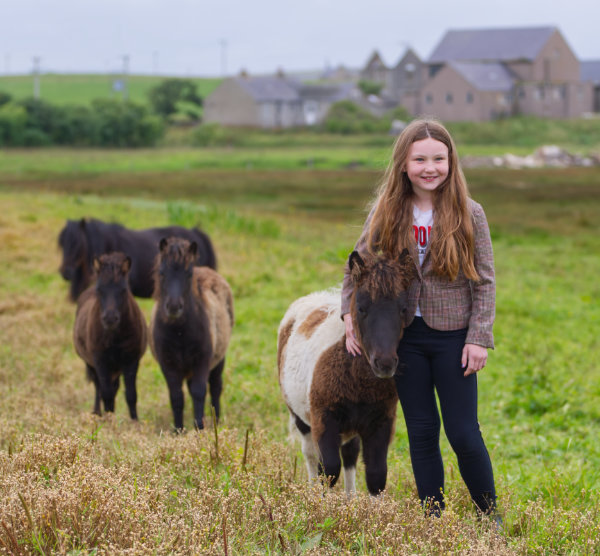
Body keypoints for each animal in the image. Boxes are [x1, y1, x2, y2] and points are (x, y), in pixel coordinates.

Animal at [73, 252, 148, 416]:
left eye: (124, 290)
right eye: (100, 290)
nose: (110, 318)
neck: (114, 337)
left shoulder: (131, 361)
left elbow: (131, 395)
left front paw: (134, 420)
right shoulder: (100, 361)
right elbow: (105, 393)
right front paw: (108, 419)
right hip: (93, 365)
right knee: (99, 387)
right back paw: (97, 412)